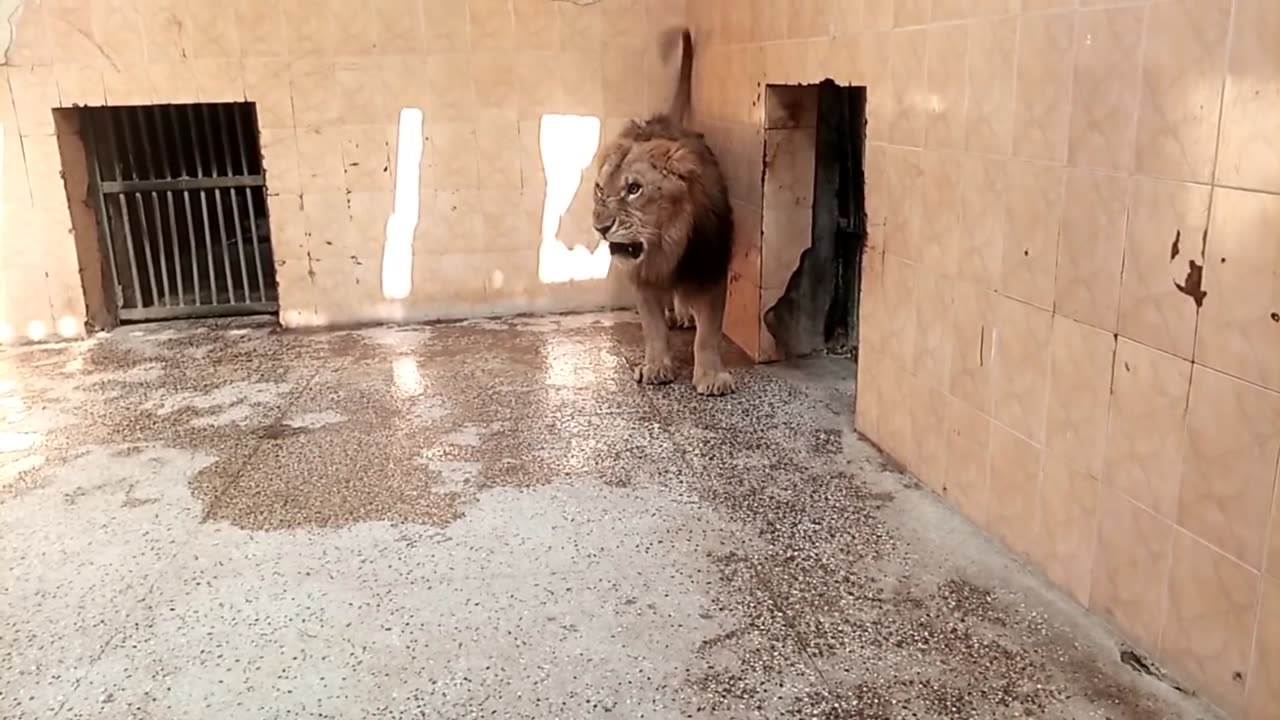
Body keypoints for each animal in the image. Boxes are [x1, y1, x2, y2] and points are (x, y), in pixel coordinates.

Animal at [586, 28, 732, 394]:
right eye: (600, 190)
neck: (668, 243)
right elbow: (652, 329)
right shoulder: (643, 278)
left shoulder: (710, 267)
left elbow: (708, 333)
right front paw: (655, 367)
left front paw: (711, 376)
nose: (600, 228)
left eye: (634, 189)